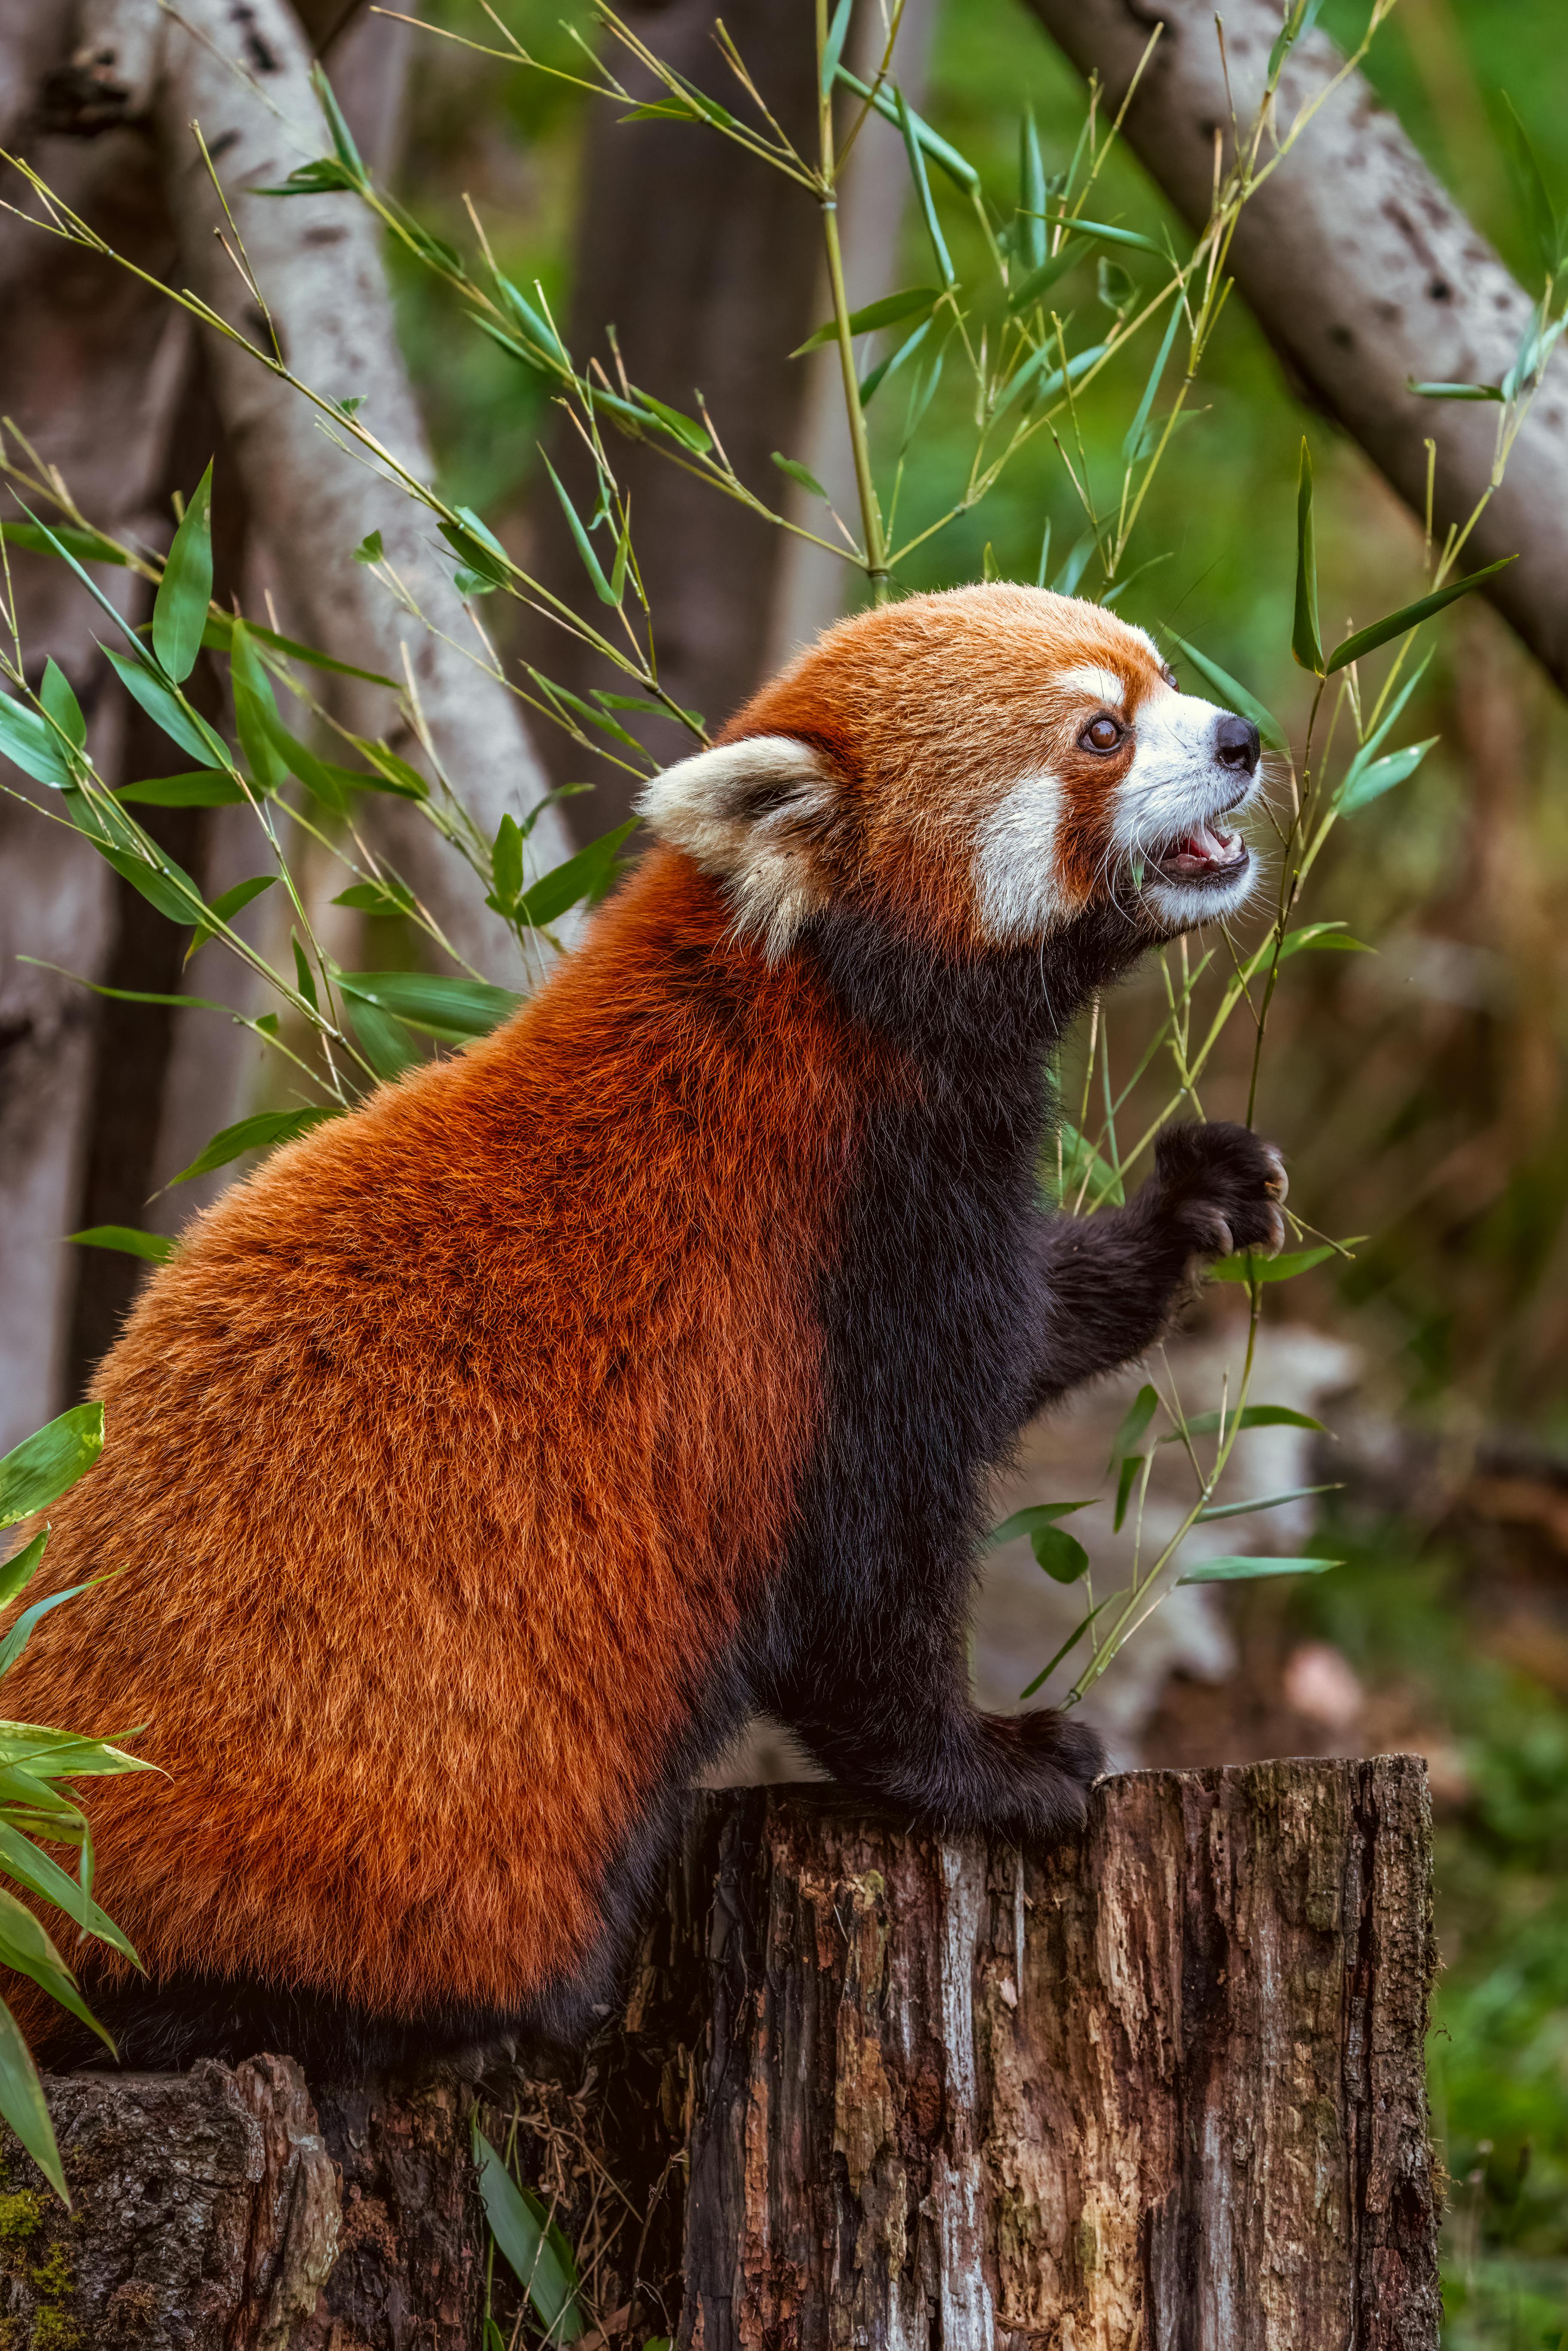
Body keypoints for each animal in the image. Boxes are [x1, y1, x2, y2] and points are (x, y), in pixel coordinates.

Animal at [6, 587, 1279, 2078]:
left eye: (1163, 675)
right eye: (1100, 733)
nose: (1241, 736)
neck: (825, 1013)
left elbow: (1033, 1325)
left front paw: (1191, 1204)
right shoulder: (824, 1293)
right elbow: (860, 1594)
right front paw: (991, 1769)